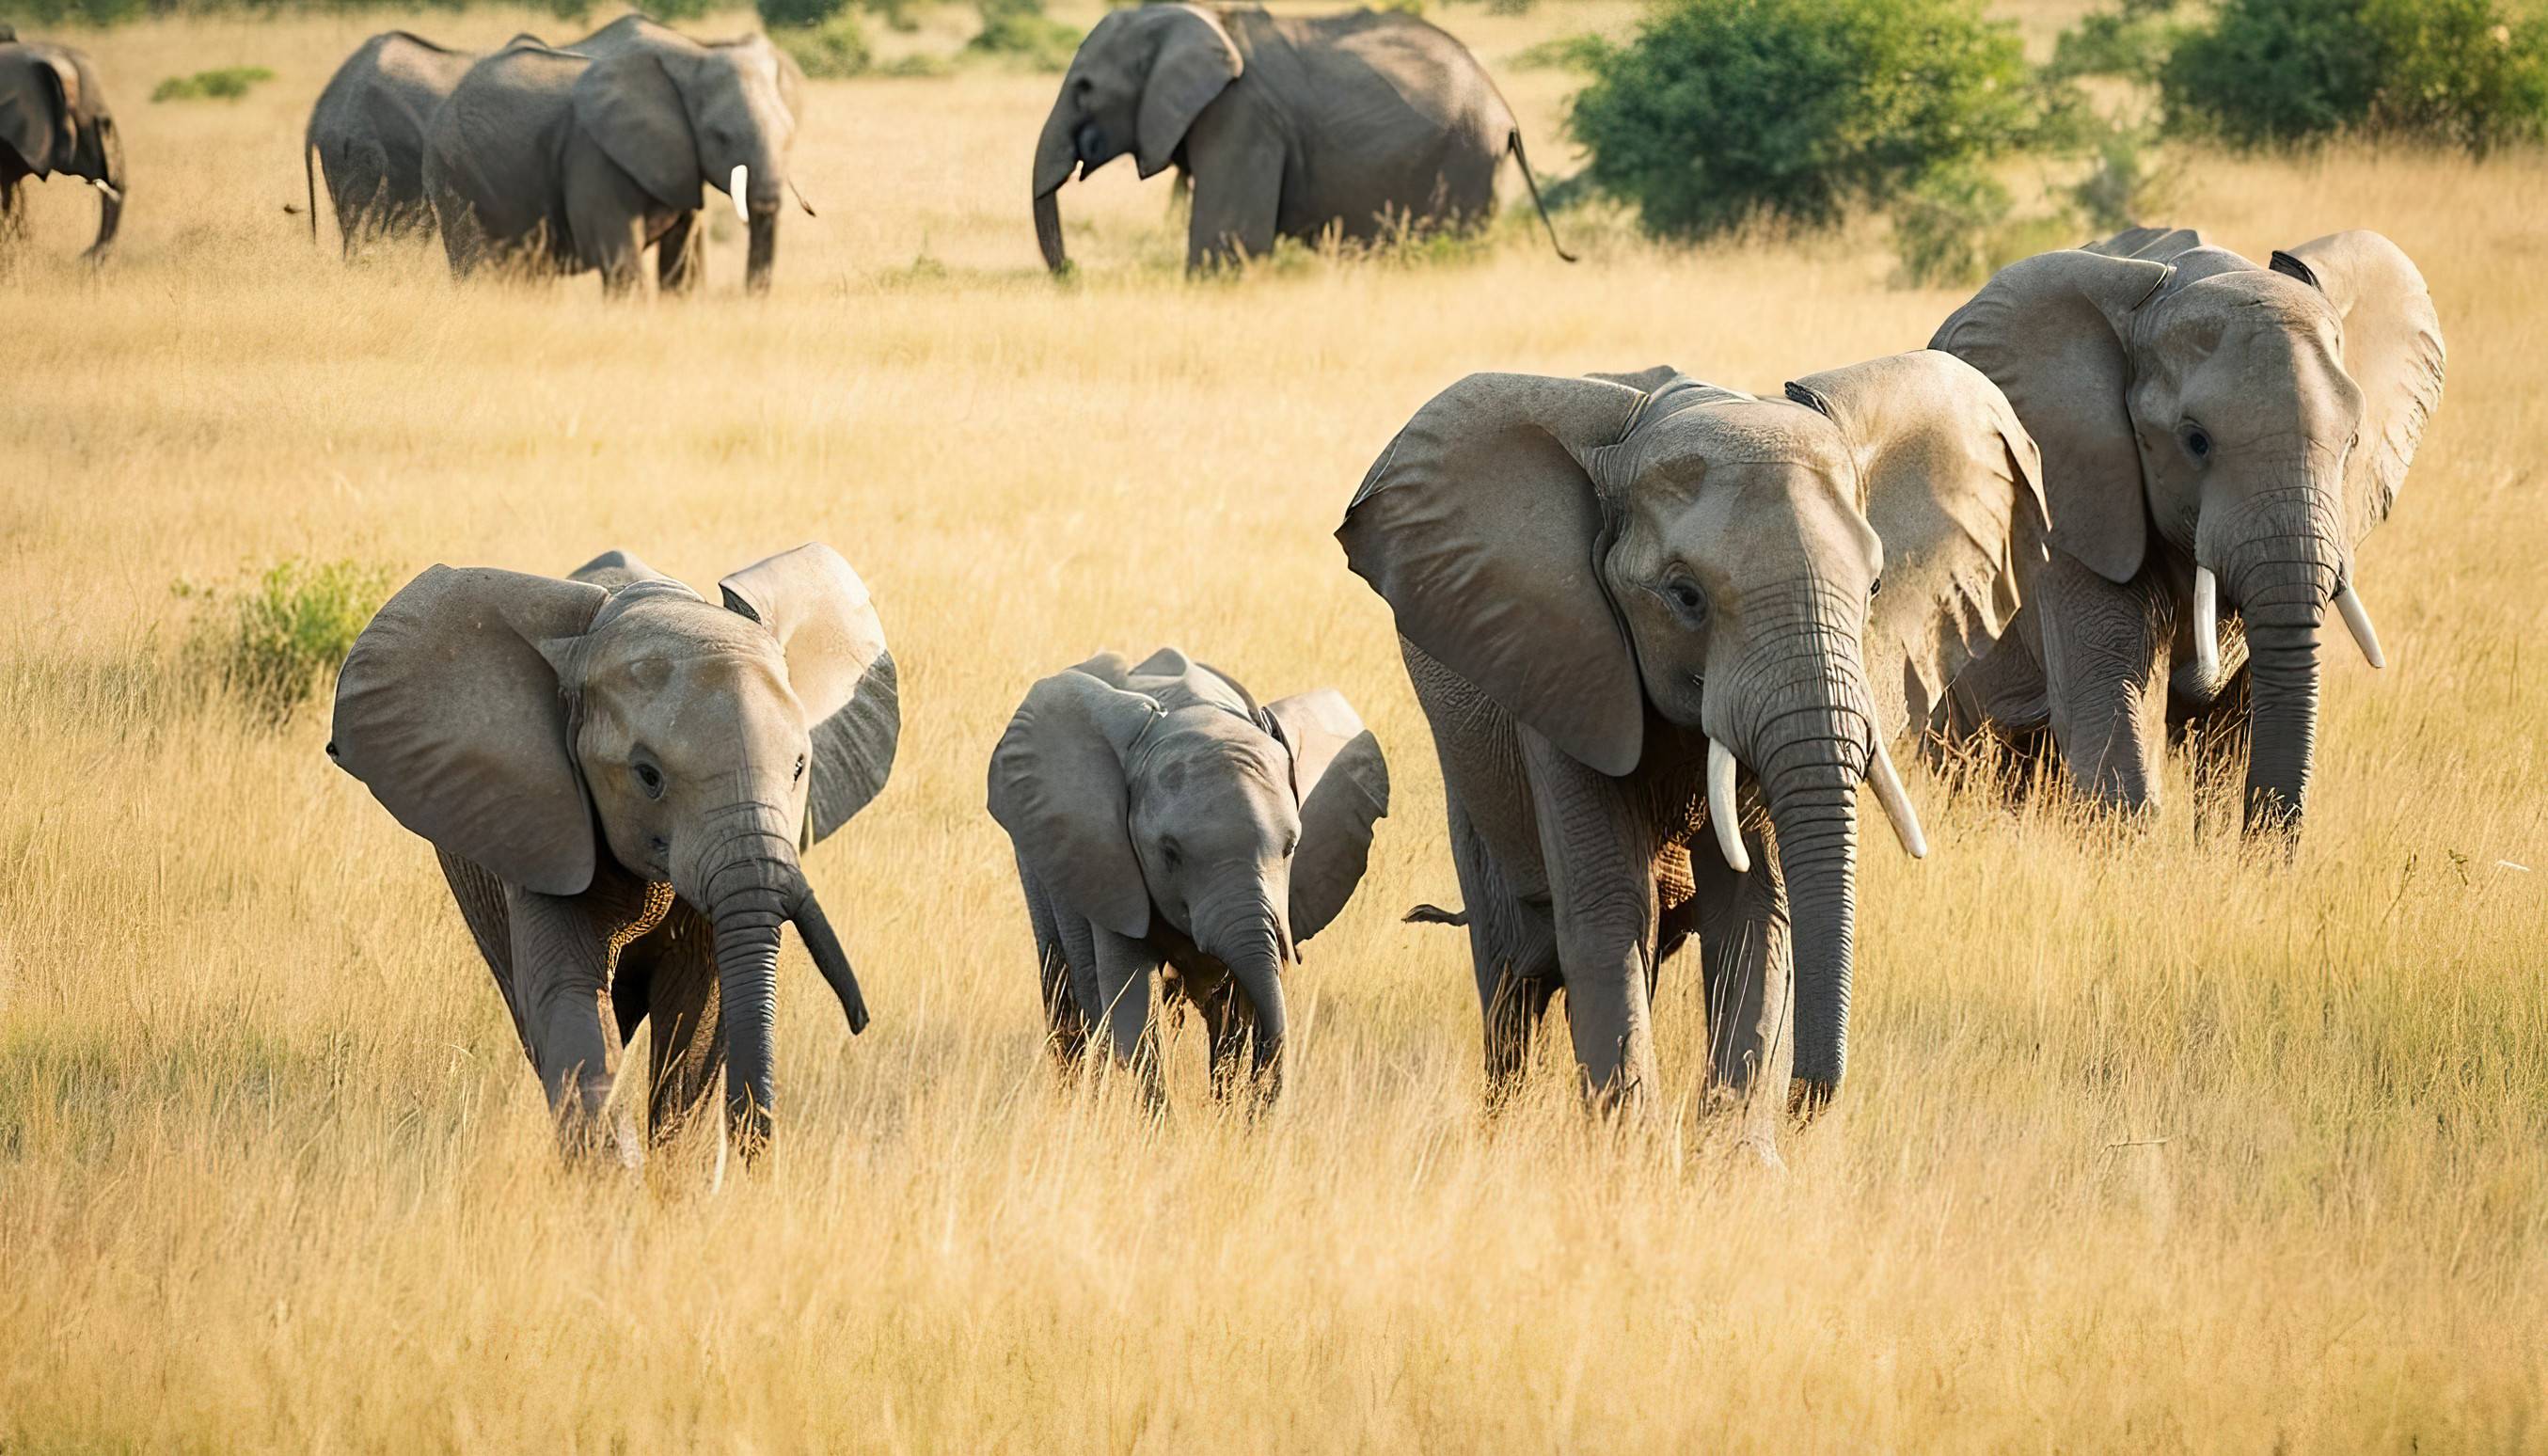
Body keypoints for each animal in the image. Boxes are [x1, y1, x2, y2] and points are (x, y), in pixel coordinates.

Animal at [327, 545, 900, 1166]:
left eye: (799, 767)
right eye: (648, 776)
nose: (863, 1021)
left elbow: (702, 1006)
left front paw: (672, 1176)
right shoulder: (542, 824)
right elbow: (569, 995)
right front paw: (611, 1176)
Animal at [424, 22, 806, 295]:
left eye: (790, 134)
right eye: (721, 136)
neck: (691, 59)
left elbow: (678, 261)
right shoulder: (592, 152)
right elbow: (617, 255)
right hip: (455, 170)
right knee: (476, 262)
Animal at [988, 649, 1389, 1105]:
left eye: (1291, 848)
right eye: (1169, 853)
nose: (1255, 1117)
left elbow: (1238, 1007)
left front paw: (1224, 1110)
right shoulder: (1109, 864)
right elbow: (1133, 1002)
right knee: (1065, 989)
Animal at [1031, 4, 1571, 274]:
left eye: (1085, 89)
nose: (1073, 274)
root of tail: (1505, 111)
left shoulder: (1244, 116)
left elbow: (1229, 248)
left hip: (1466, 160)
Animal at [1340, 353, 2047, 1126]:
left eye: (1874, 589)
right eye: (1685, 596)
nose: (1805, 1101)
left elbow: (1756, 907)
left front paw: (1731, 1145)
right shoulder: (1564, 659)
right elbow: (1610, 903)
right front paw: (1629, 1143)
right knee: (1512, 973)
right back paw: (1503, 1122)